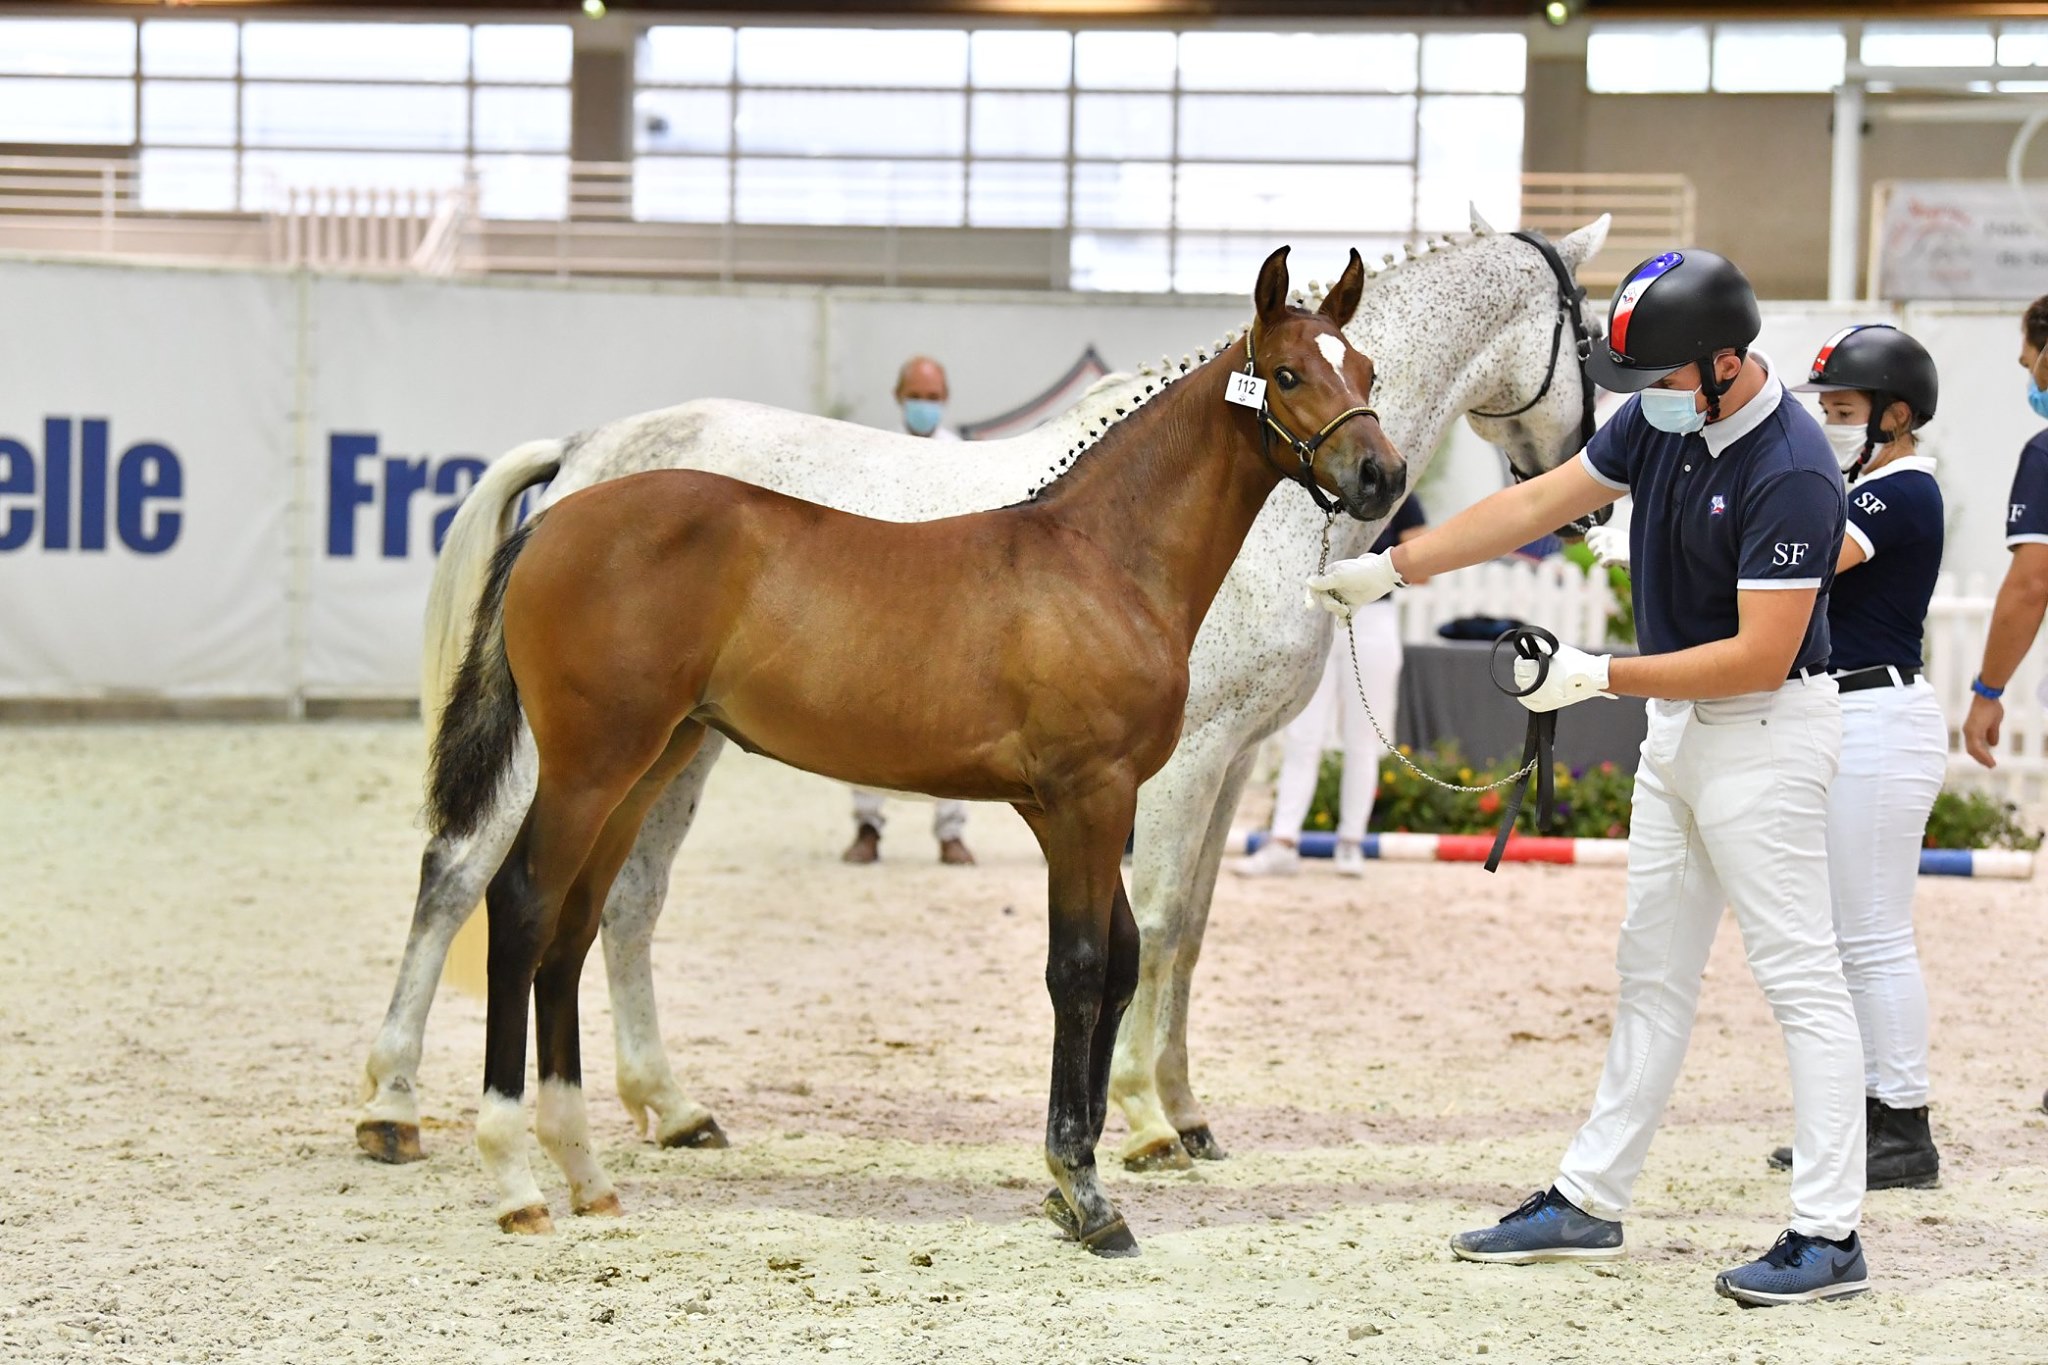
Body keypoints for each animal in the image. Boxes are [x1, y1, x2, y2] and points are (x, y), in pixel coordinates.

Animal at [360, 213, 1605, 1178]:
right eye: (1591, 336)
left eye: (1374, 376)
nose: (1587, 499)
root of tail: (589, 451)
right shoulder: (1183, 764)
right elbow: (1156, 925)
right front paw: (1143, 1122)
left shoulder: (1234, 758)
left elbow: (1191, 932)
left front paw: (1183, 1111)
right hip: (581, 743)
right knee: (463, 873)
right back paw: (392, 1106)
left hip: (679, 744)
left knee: (623, 901)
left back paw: (668, 1107)